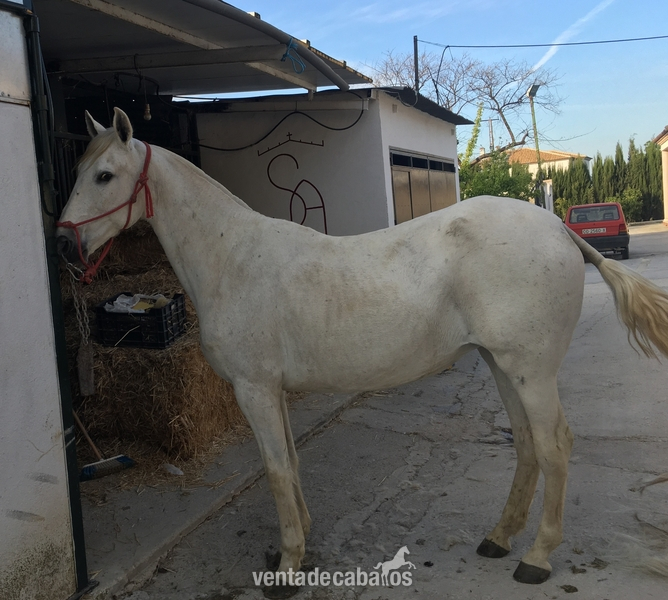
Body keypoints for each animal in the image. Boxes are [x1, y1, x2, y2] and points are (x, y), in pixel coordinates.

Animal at [56, 108, 668, 587]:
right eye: (80, 169)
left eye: (105, 175)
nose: (63, 241)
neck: (233, 259)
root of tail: (559, 230)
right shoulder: (274, 391)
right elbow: (291, 463)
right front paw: (298, 545)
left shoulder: (255, 390)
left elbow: (274, 469)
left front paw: (287, 568)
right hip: (504, 366)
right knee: (525, 446)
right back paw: (498, 539)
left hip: (531, 371)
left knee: (555, 447)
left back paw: (536, 558)